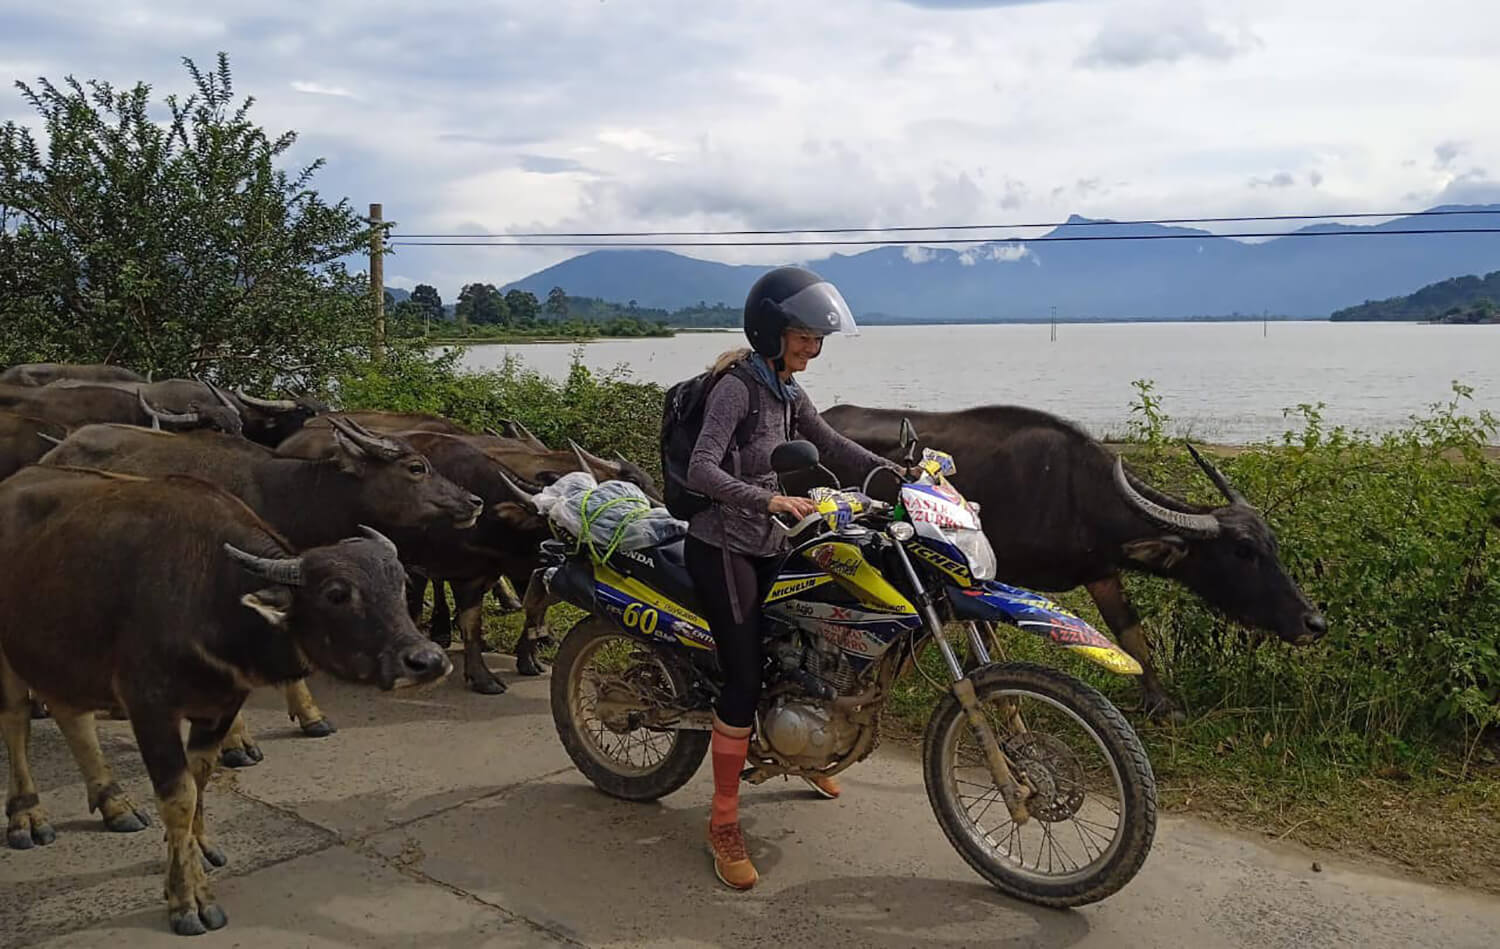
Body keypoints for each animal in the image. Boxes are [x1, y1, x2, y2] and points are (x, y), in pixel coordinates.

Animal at [0, 467, 447, 935]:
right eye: (337, 594)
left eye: (400, 584)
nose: (428, 660)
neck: (211, 596)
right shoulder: (150, 707)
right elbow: (179, 796)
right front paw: (188, 900)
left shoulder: (222, 705)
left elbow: (200, 779)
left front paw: (196, 849)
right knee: (16, 720)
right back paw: (26, 815)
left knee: (71, 714)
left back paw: (114, 803)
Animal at [38, 416, 480, 767]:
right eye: (416, 467)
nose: (474, 500)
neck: (286, 496)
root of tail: (53, 454)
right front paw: (236, 744)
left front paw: (312, 717)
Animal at [822, 398, 1326, 716]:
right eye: (1242, 551)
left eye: (1272, 545)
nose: (1313, 622)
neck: (1077, 493)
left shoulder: (1102, 574)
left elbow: (1132, 636)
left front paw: (1162, 704)